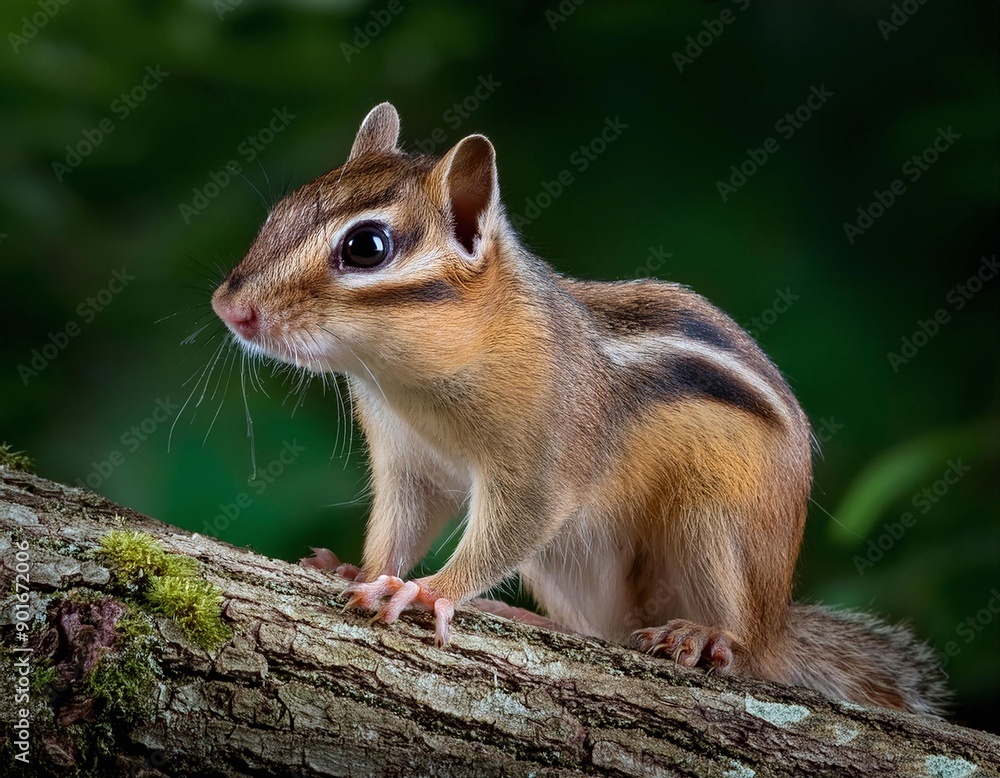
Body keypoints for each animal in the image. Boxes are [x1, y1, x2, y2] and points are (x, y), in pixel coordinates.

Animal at [211, 102, 949, 717]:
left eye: (366, 246)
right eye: (281, 211)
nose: (228, 307)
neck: (408, 378)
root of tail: (780, 624)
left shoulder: (541, 463)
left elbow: (511, 523)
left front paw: (426, 590)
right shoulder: (408, 463)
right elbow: (401, 522)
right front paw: (360, 571)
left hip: (715, 523)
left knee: (742, 649)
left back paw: (705, 636)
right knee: (601, 630)